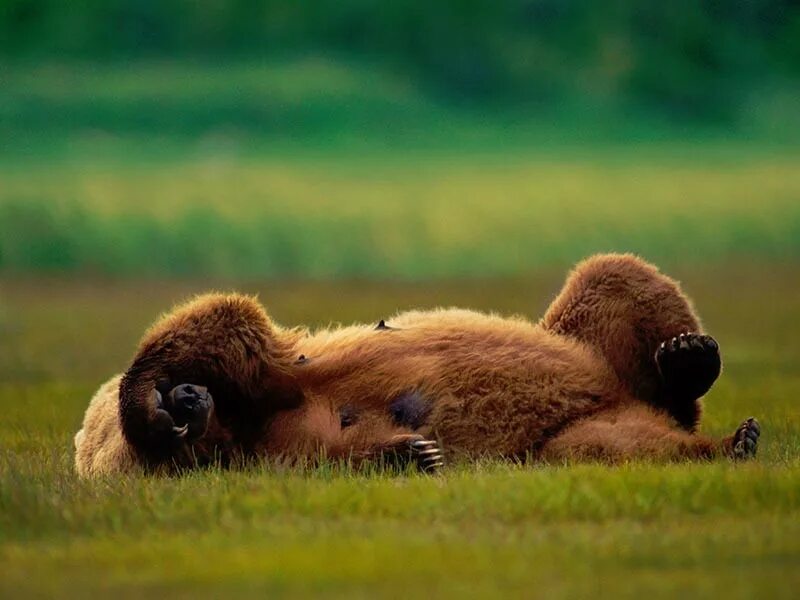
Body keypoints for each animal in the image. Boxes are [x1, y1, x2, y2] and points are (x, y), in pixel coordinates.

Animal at [72, 253, 760, 478]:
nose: (186, 400)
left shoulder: (266, 384)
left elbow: (219, 319)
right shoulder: (272, 446)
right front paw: (414, 453)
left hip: (588, 343)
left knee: (614, 276)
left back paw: (688, 359)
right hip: (579, 430)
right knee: (620, 444)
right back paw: (731, 438)